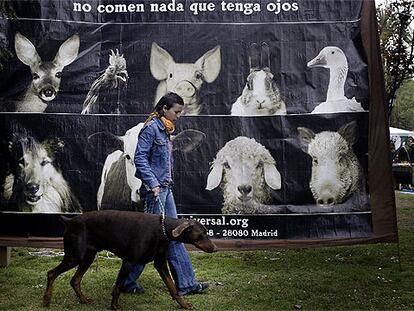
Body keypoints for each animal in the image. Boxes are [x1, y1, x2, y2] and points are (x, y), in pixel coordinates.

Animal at [42, 211, 217, 310]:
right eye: (201, 235)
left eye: (206, 233)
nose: (215, 248)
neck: (162, 230)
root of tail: (70, 221)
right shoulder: (129, 262)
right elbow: (118, 286)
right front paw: (114, 306)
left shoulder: (160, 264)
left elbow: (172, 287)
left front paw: (184, 305)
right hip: (75, 256)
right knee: (51, 273)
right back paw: (46, 299)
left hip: (88, 257)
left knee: (75, 280)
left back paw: (83, 300)